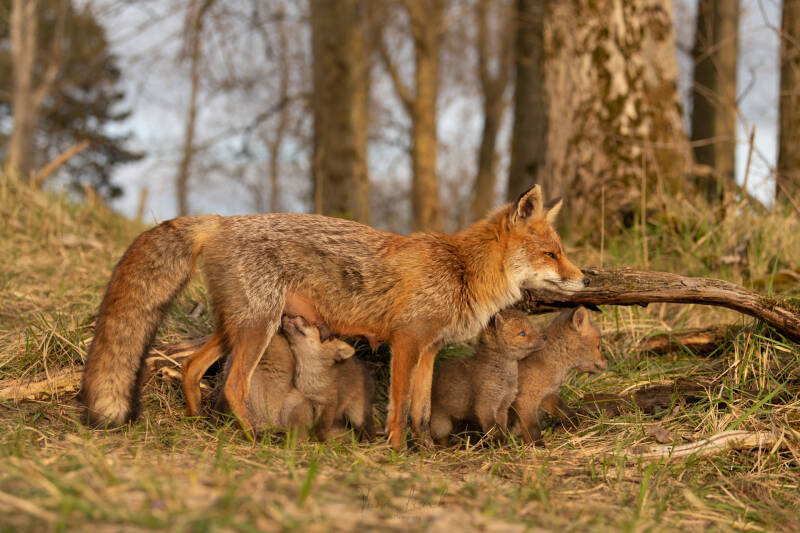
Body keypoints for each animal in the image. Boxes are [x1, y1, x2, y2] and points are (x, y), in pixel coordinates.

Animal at [429, 309, 547, 445]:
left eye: (531, 327)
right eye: (522, 333)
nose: (544, 337)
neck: (505, 380)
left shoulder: (502, 406)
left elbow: (501, 428)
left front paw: (504, 443)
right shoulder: (485, 405)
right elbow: (492, 429)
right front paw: (498, 444)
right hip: (442, 424)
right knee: (441, 438)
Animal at [510, 306, 608, 445]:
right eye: (598, 346)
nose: (607, 363)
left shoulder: (546, 394)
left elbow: (562, 408)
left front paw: (576, 421)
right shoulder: (525, 399)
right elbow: (532, 428)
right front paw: (537, 446)